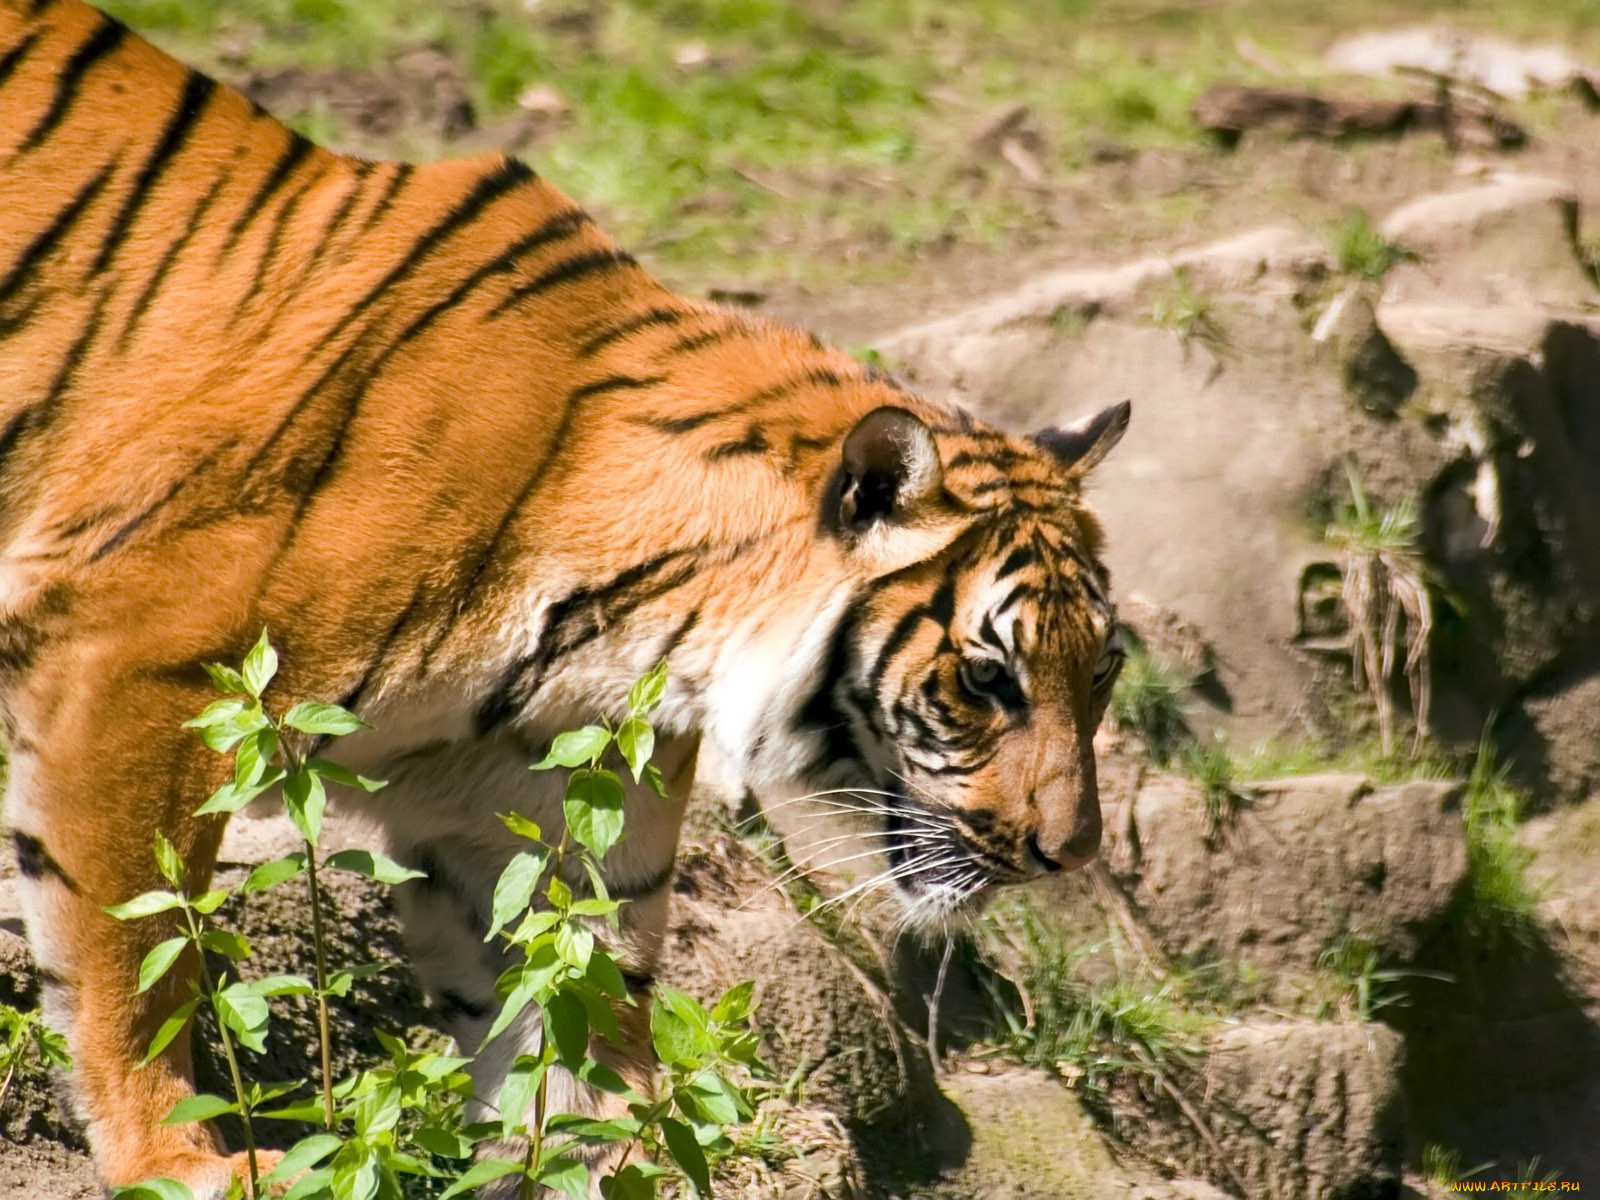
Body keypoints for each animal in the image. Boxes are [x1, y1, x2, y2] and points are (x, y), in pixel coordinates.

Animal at [0, 0, 1126, 1196]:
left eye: (1100, 672)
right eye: (987, 679)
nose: (1072, 855)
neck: (628, 629)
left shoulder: (527, 821)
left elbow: (571, 1037)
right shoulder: (133, 664)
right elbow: (135, 951)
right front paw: (174, 1154)